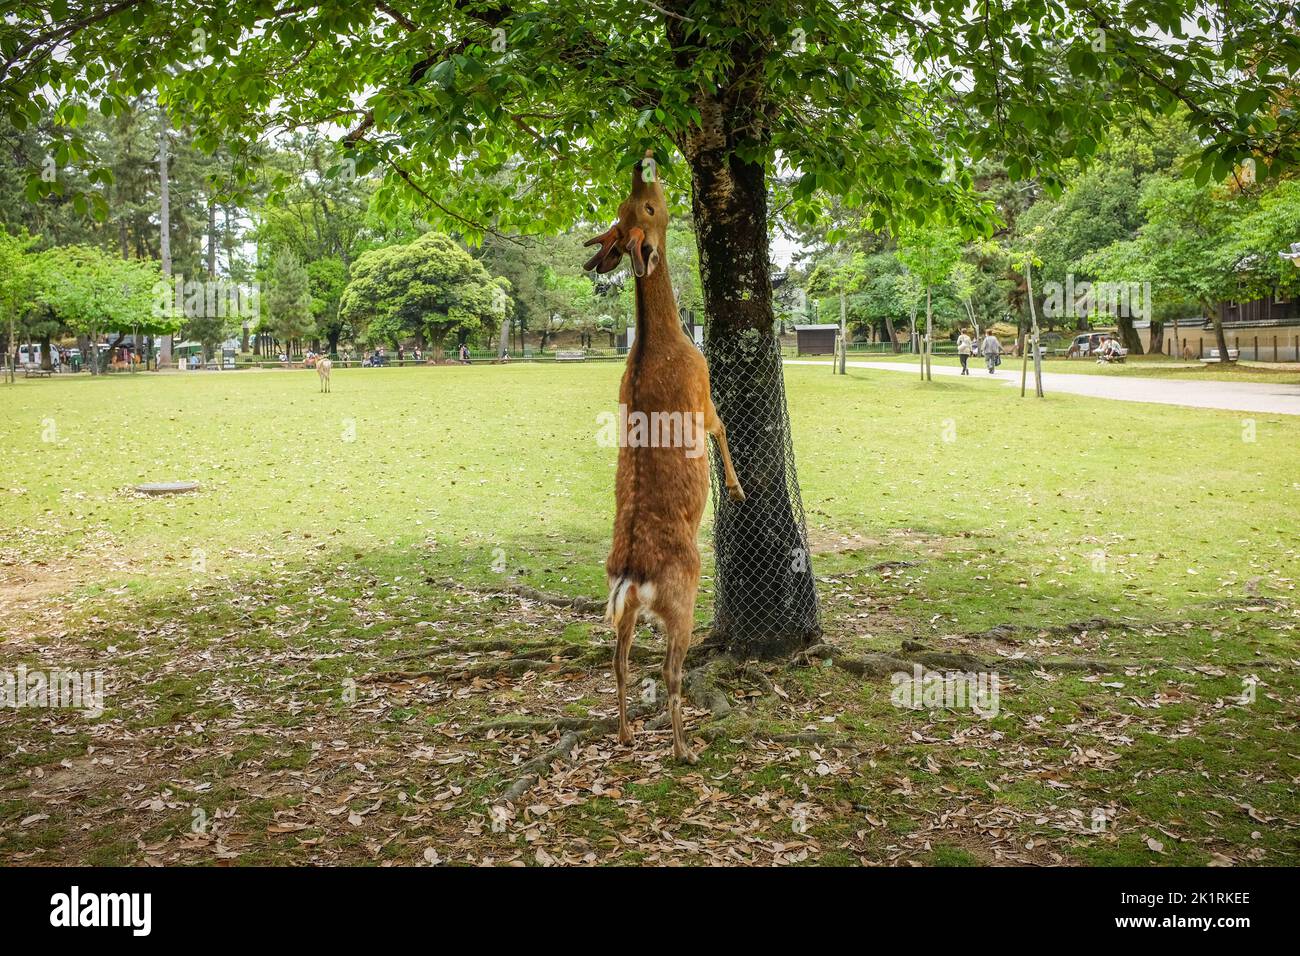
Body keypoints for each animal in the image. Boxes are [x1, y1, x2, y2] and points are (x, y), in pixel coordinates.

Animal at [583, 152, 745, 764]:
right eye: (649, 208)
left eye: (630, 205)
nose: (640, 161)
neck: (662, 342)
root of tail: (632, 577)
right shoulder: (703, 396)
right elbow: (723, 429)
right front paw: (737, 489)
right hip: (683, 600)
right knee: (672, 672)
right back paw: (681, 749)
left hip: (622, 613)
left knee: (619, 662)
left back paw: (627, 733)